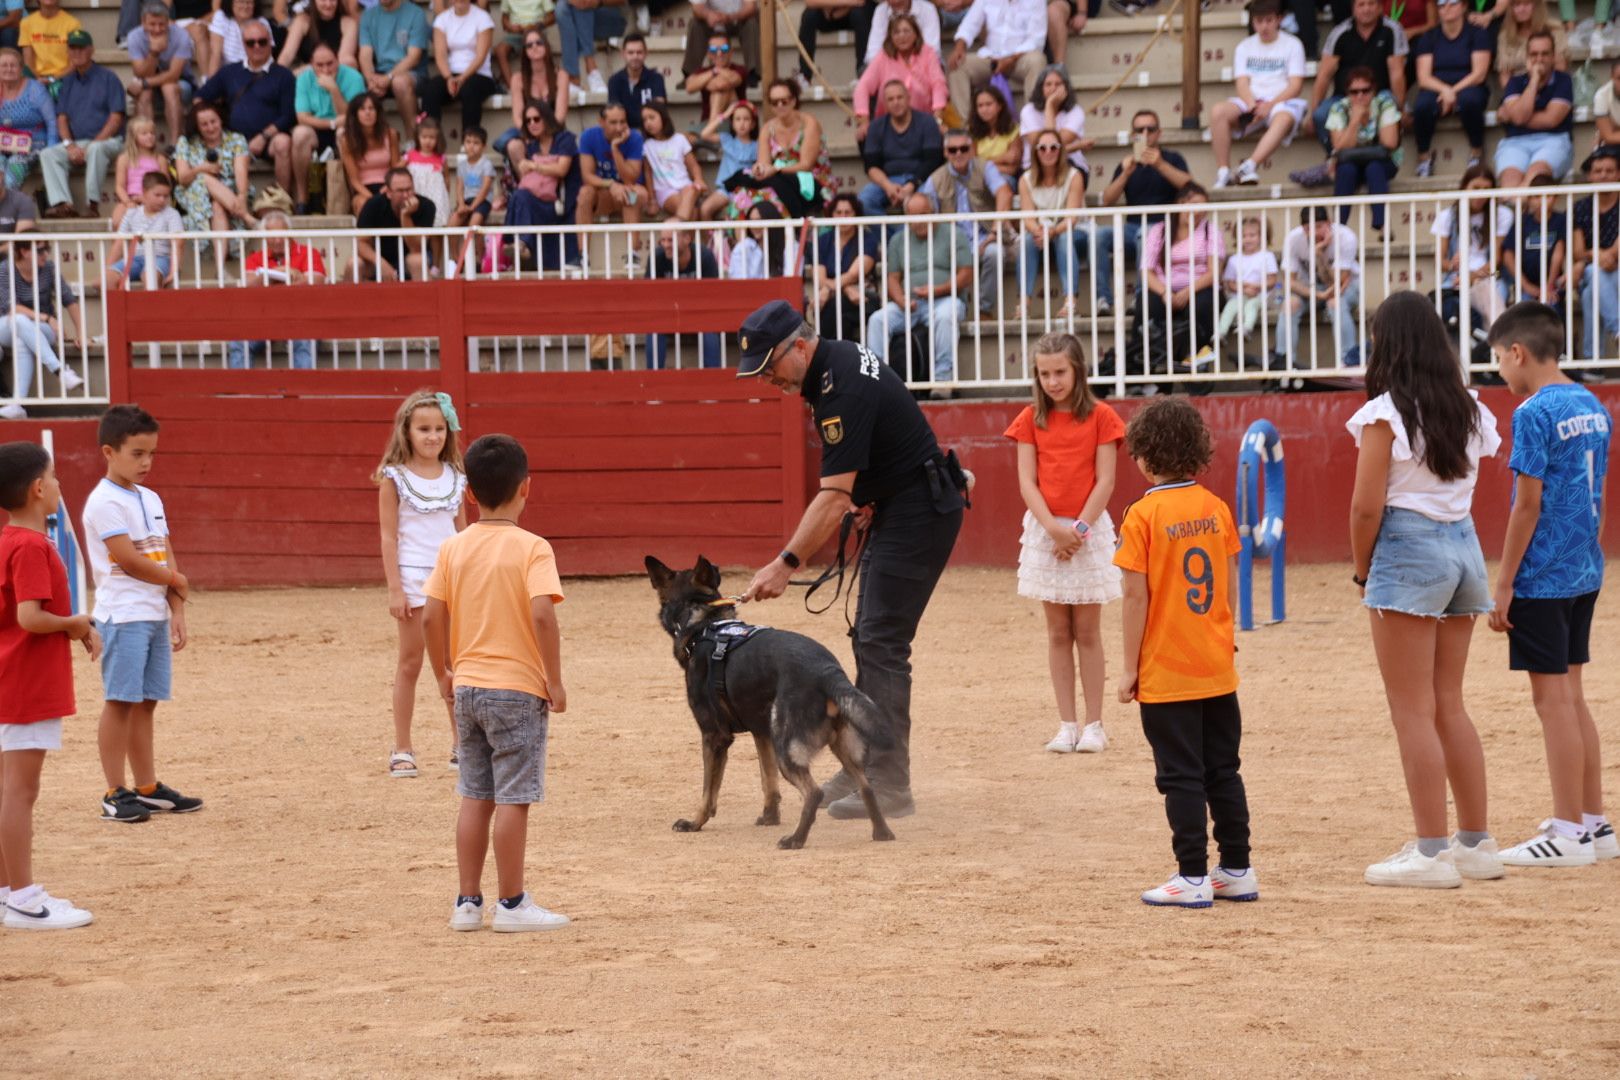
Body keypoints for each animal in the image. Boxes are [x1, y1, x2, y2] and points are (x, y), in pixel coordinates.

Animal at [644, 557, 900, 854]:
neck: (707, 623)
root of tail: (828, 672)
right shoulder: (761, 732)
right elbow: (768, 782)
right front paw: (769, 817)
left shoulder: (714, 736)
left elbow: (708, 792)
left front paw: (695, 823)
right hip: (838, 745)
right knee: (866, 787)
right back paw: (881, 832)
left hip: (787, 746)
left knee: (814, 792)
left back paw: (795, 839)